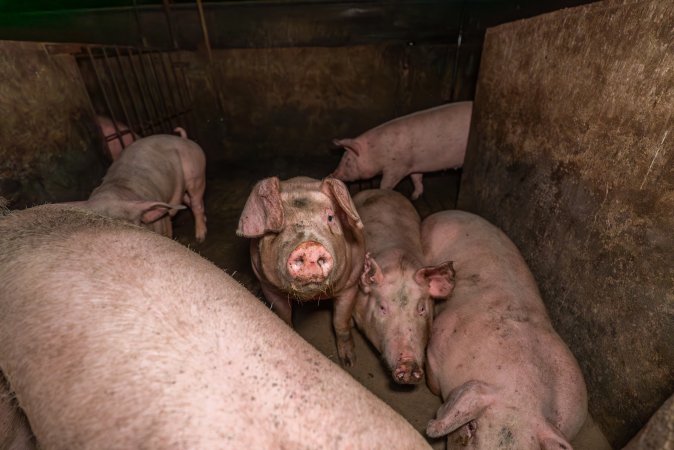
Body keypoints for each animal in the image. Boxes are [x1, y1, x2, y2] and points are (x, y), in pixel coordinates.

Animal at [70, 134, 207, 242]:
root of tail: (183, 139)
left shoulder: (164, 222)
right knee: (190, 200)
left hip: (196, 175)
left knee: (196, 203)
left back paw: (200, 237)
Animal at [237, 176, 365, 366]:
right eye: (277, 228)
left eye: (330, 217)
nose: (309, 247)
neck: (312, 297)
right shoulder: (269, 287)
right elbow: (283, 315)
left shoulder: (351, 285)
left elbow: (340, 322)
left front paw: (349, 362)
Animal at [331, 101, 473, 200]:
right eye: (342, 157)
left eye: (348, 161)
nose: (332, 175)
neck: (377, 151)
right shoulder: (414, 164)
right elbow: (416, 178)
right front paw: (414, 197)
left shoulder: (397, 167)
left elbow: (386, 184)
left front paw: (383, 192)